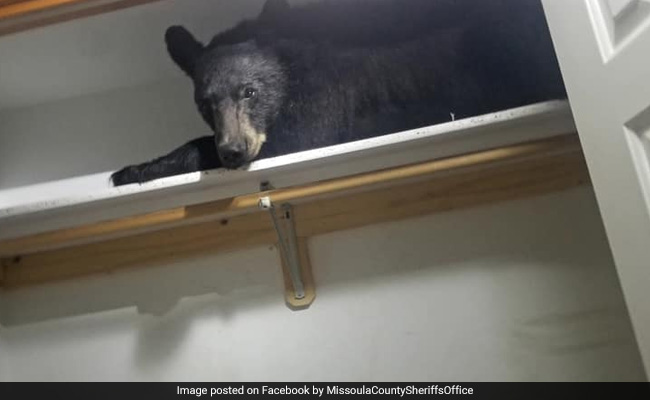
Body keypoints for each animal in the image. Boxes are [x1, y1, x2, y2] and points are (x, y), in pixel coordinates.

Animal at [110, 0, 566, 186]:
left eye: (250, 92)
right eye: (205, 102)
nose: (233, 152)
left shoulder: (325, 100)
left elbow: (298, 136)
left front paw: (137, 168)